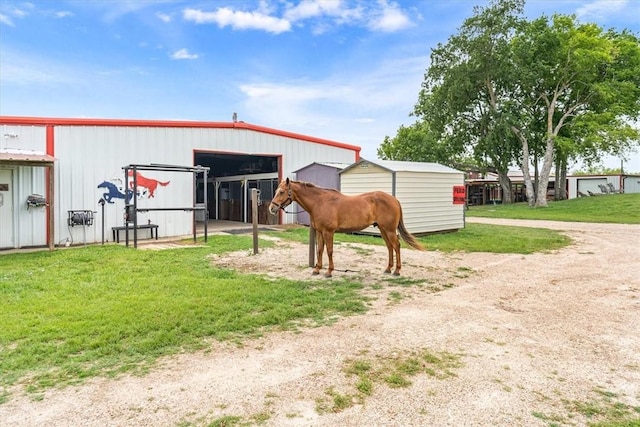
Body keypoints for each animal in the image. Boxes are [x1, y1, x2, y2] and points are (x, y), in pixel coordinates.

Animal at [270, 179, 424, 280]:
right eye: (276, 191)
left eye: (282, 191)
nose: (272, 208)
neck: (320, 202)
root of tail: (394, 199)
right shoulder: (320, 232)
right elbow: (319, 250)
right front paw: (317, 269)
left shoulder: (328, 232)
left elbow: (329, 251)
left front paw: (329, 272)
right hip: (383, 229)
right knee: (390, 247)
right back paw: (388, 269)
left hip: (390, 230)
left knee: (396, 246)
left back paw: (397, 271)